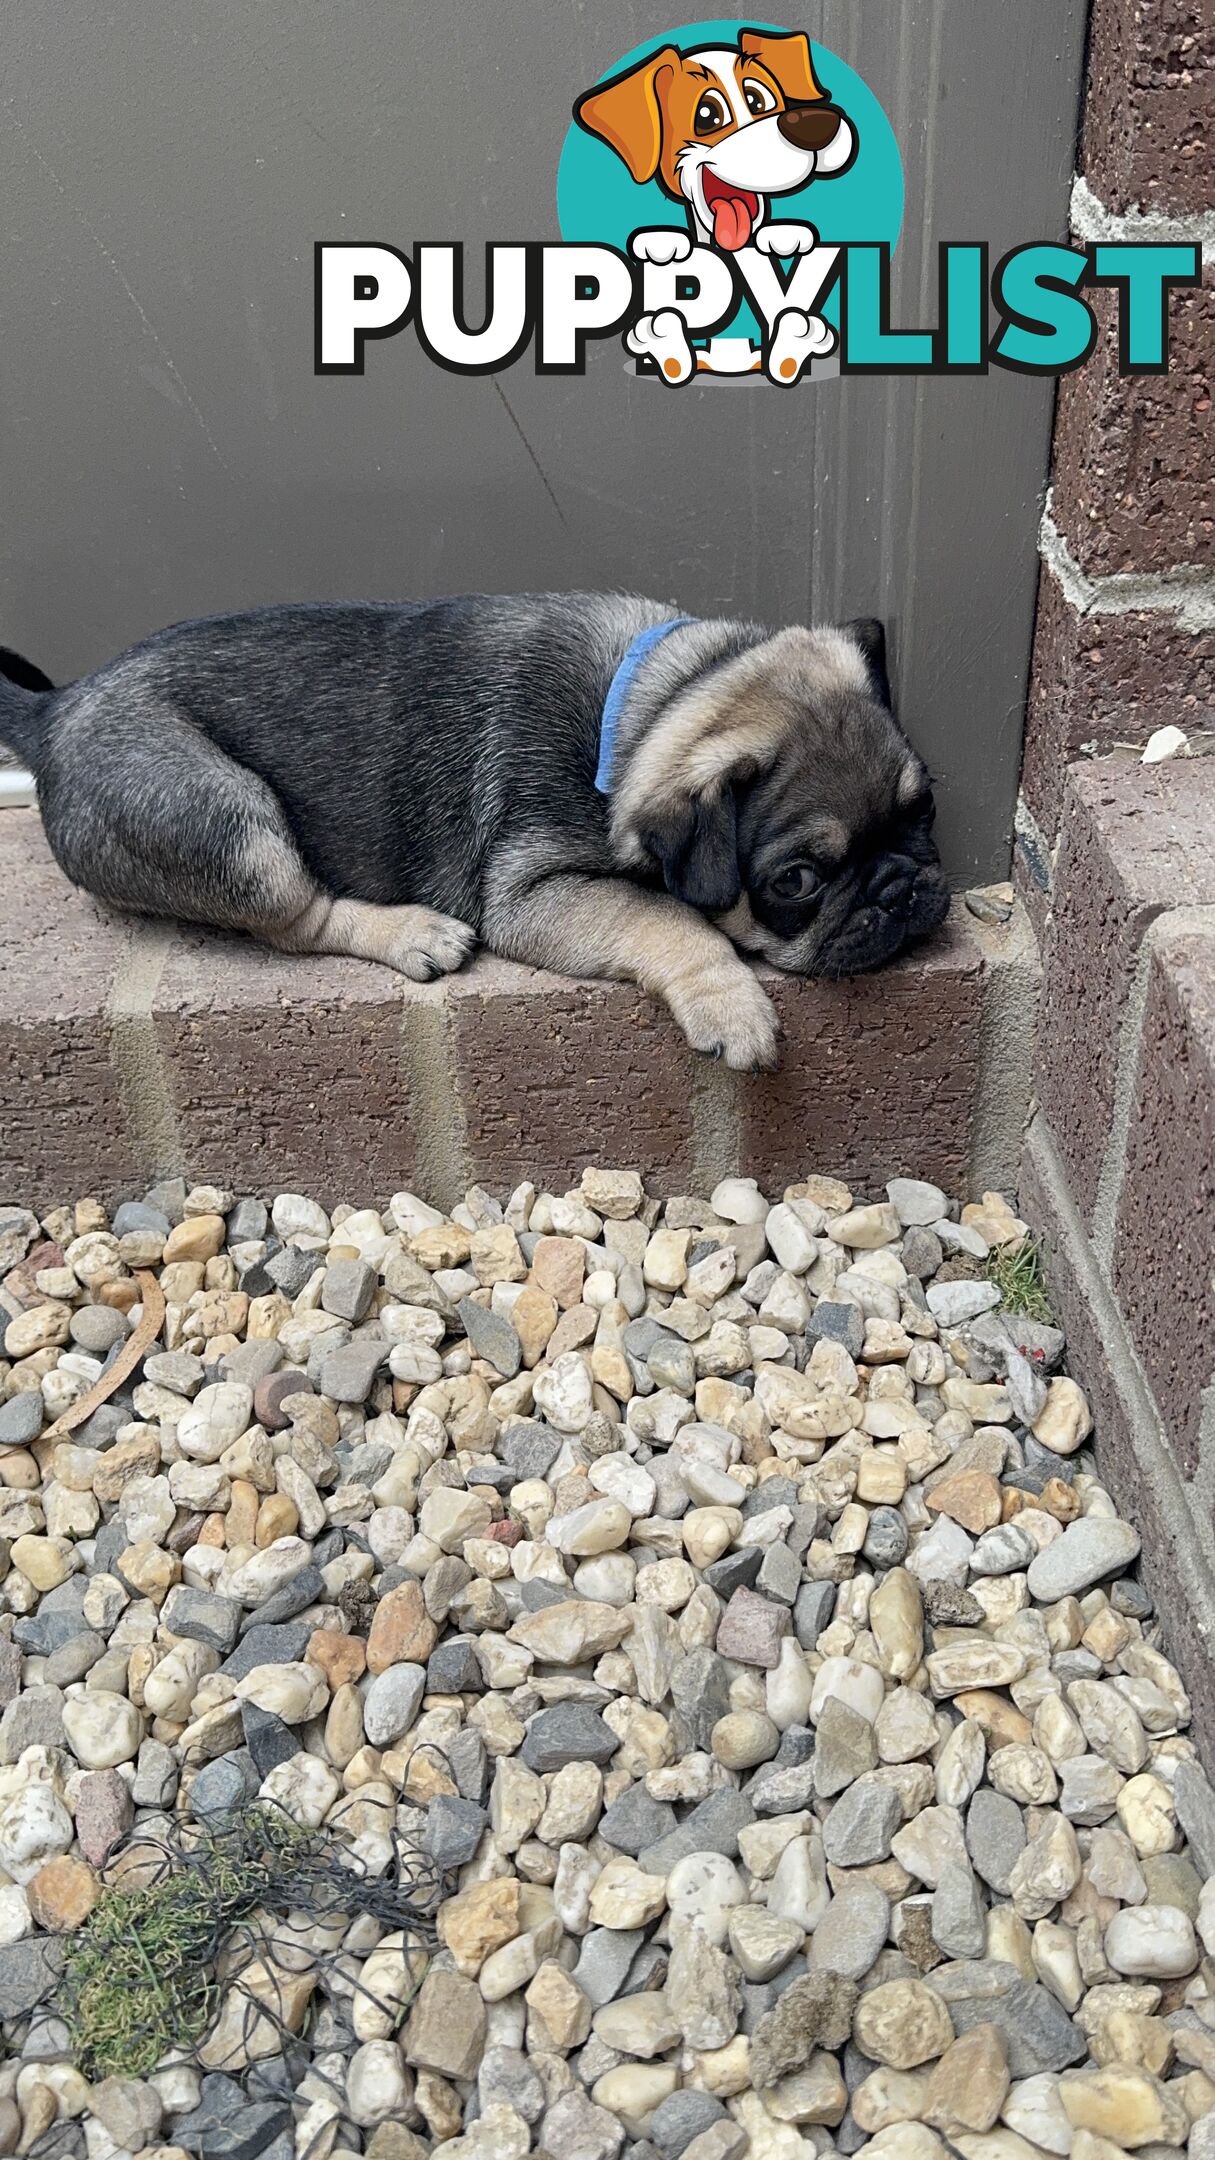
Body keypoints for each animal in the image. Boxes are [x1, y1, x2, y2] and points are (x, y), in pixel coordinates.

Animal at [0, 591, 946, 1071]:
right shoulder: (533, 892)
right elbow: (668, 918)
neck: (657, 699)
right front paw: (728, 1000)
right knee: (297, 918)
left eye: (924, 808)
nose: (901, 887)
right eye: (797, 881)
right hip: (231, 827)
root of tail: (52, 713)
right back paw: (412, 933)